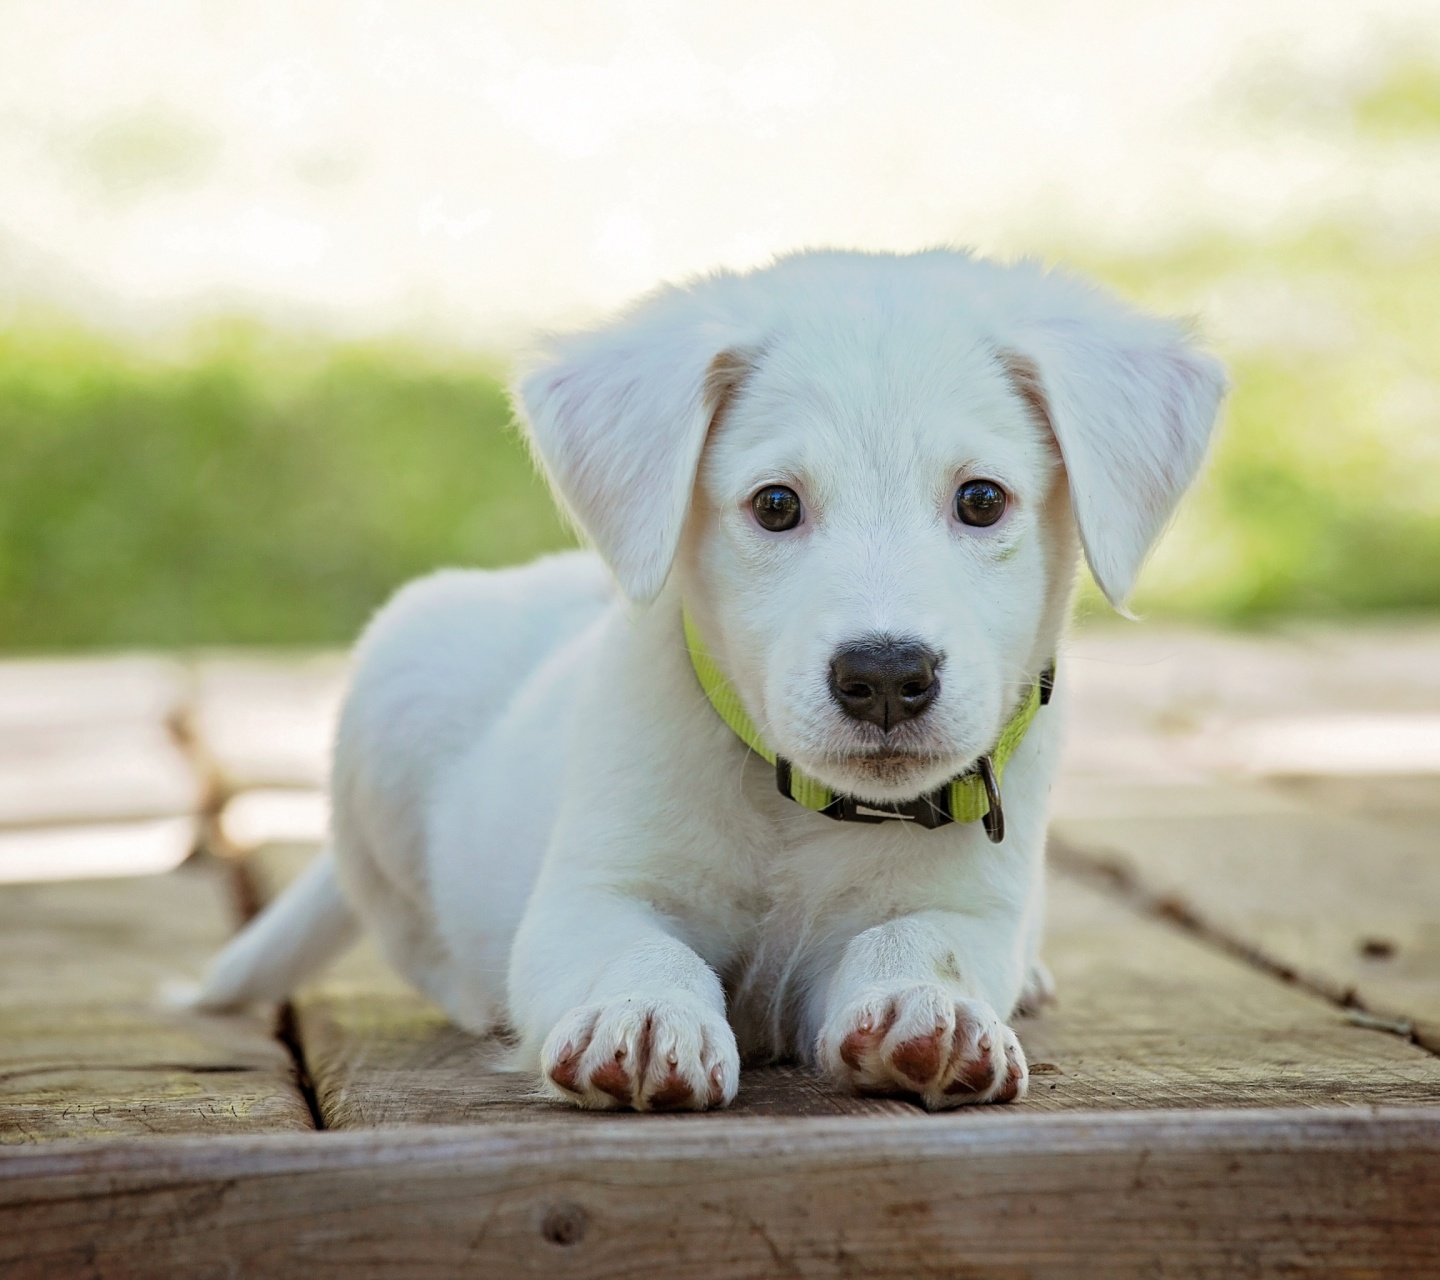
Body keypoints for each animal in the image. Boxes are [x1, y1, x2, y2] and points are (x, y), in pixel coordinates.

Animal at [194, 249, 1226, 1111]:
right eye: (774, 505)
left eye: (981, 500)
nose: (886, 677)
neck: (799, 809)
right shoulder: (592, 894)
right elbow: (639, 948)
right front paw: (646, 1016)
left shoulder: (971, 906)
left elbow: (920, 940)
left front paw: (927, 1008)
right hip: (393, 695)